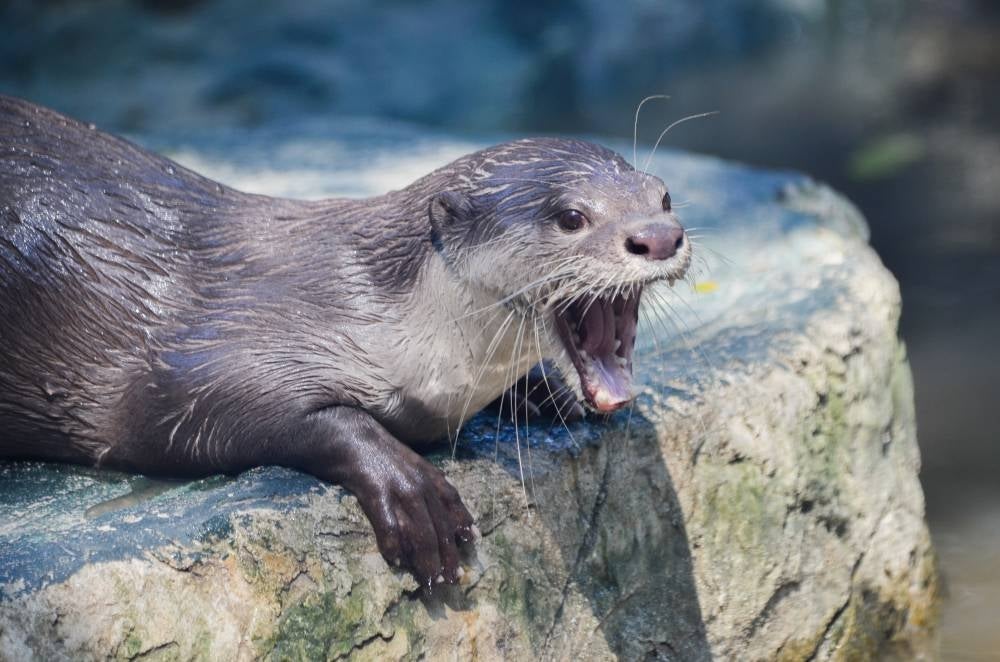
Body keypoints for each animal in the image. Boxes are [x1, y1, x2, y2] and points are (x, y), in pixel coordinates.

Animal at [0, 96, 691, 587]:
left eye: (664, 195)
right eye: (571, 216)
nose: (660, 236)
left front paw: (547, 394)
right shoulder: (200, 354)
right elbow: (223, 412)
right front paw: (408, 486)